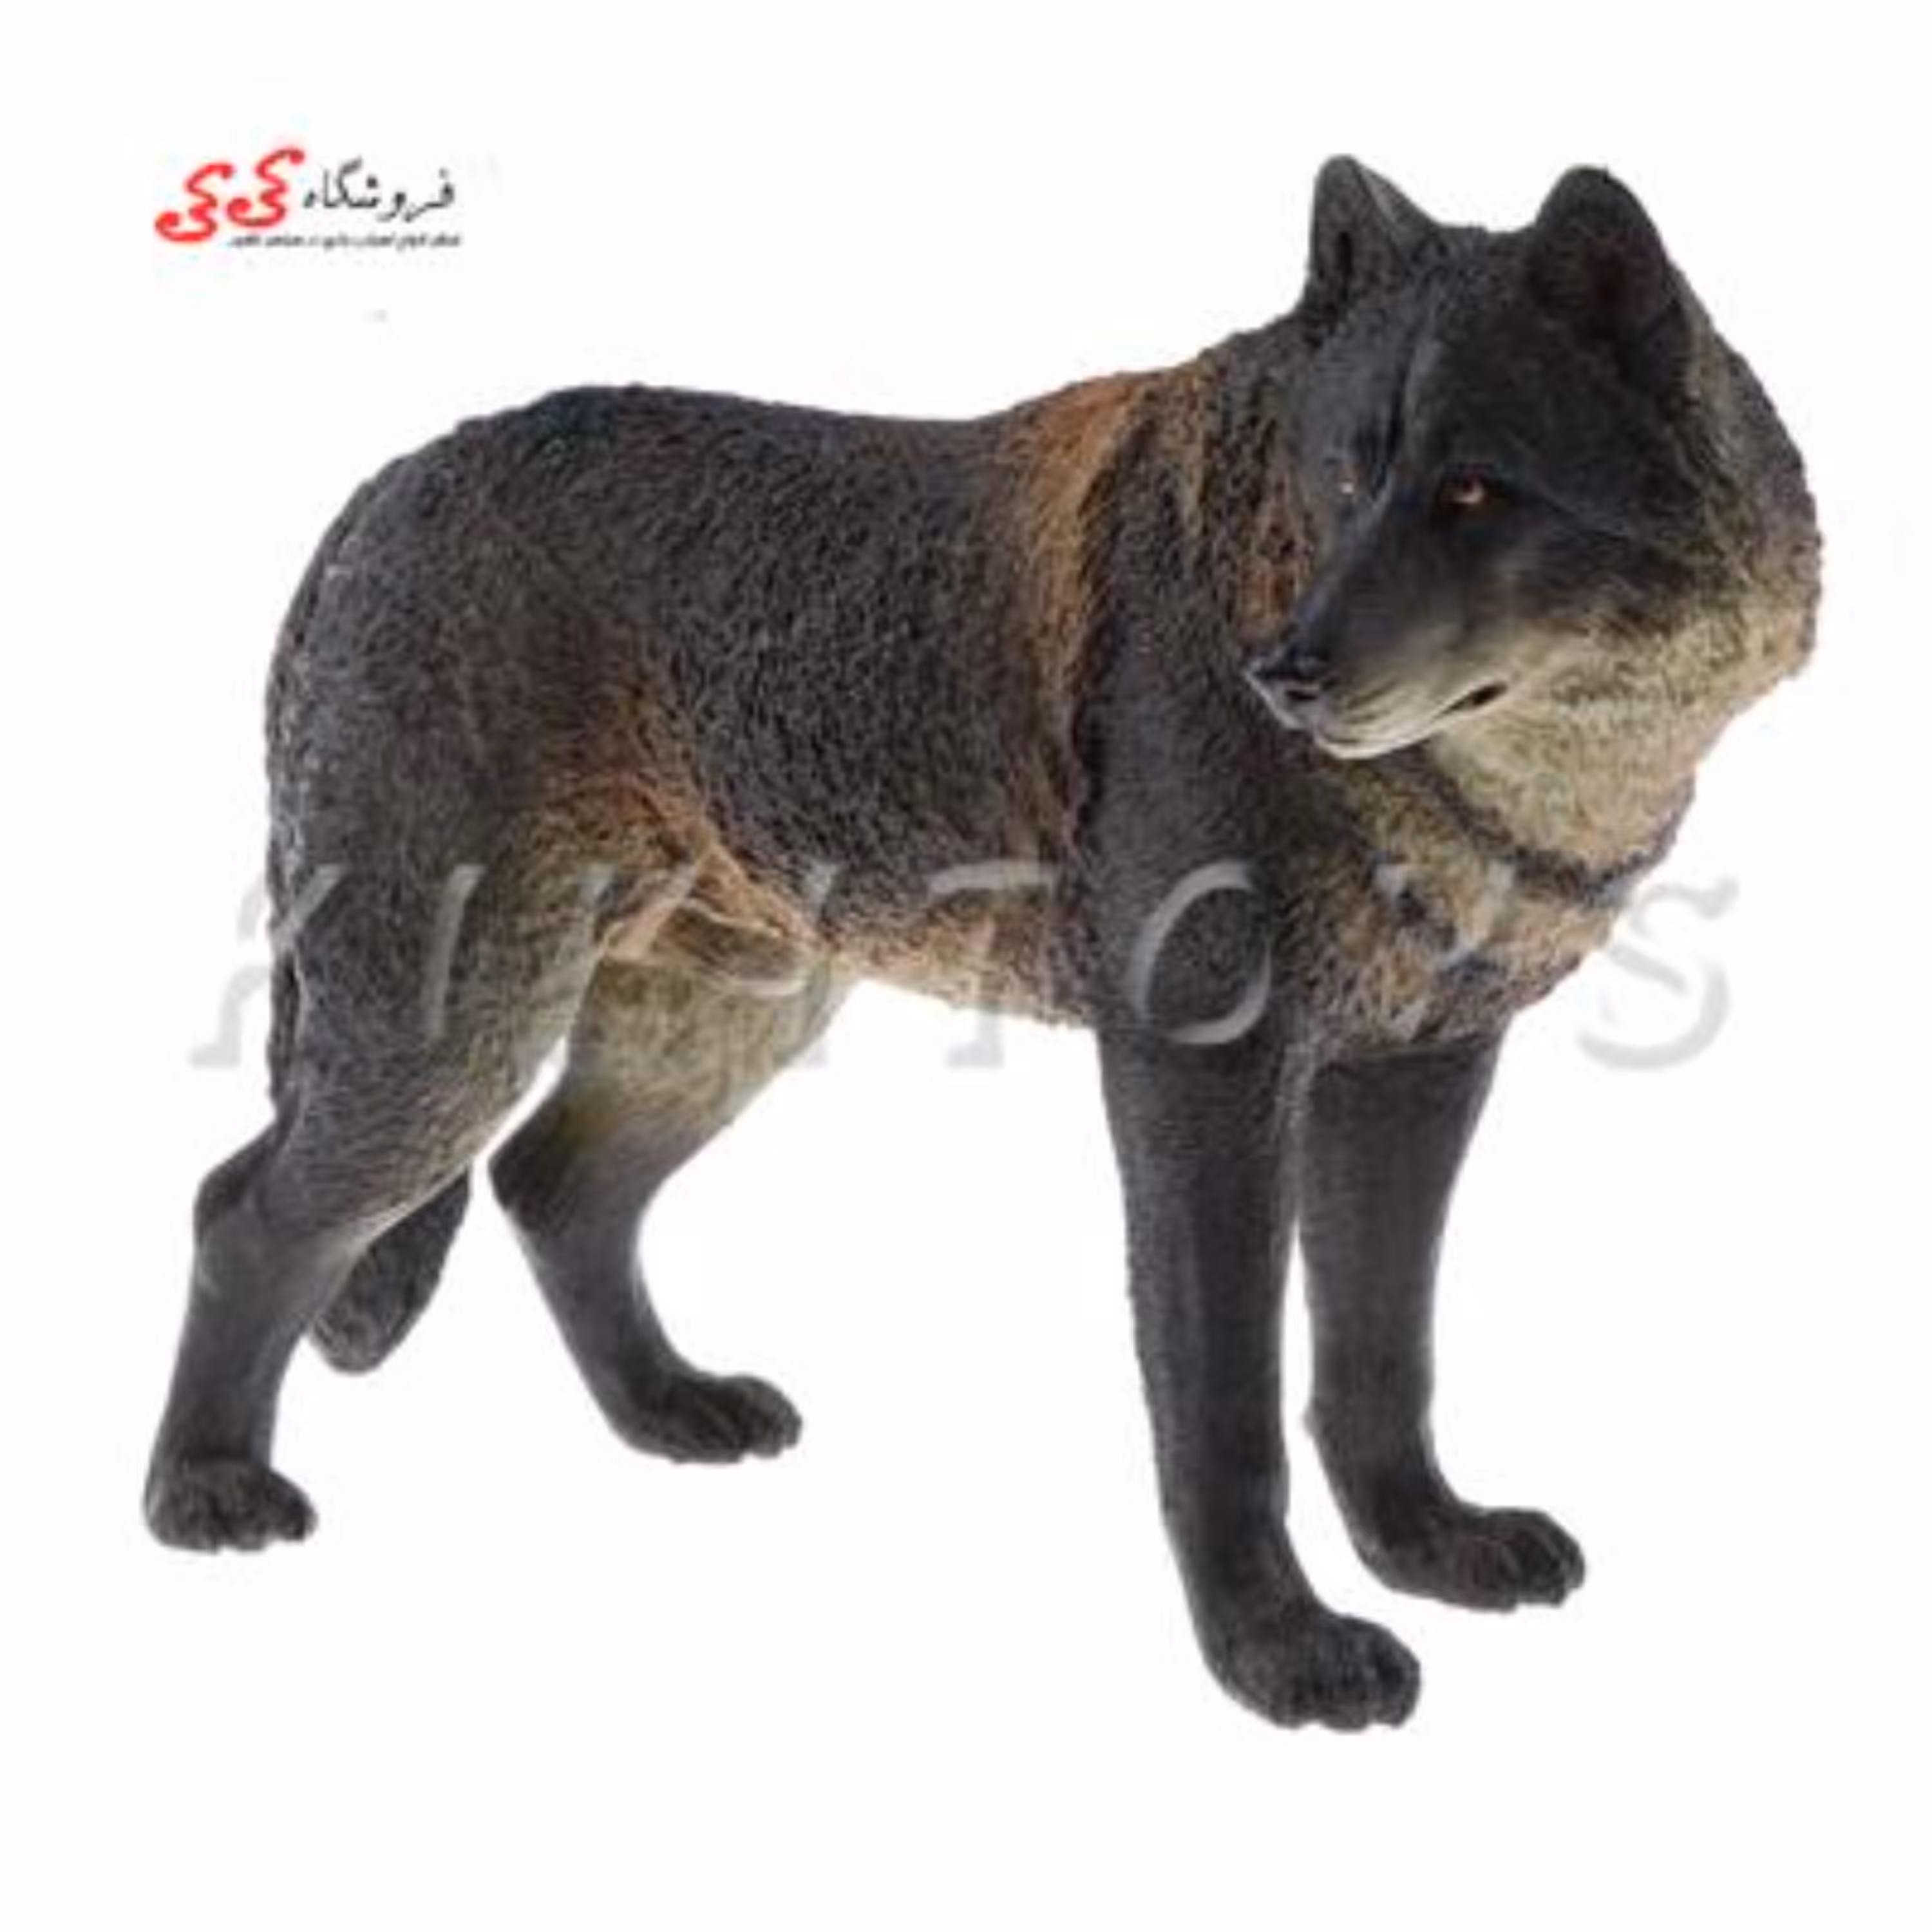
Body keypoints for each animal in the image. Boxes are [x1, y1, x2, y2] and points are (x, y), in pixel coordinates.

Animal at [146, 159, 1819, 1730]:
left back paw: (669, 1410)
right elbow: (1227, 1405)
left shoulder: (1418, 1070)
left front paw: (1422, 1548)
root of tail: (383, 486)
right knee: (248, 1210)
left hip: (723, 1018)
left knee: (551, 1185)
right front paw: (1276, 1652)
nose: (1280, 674)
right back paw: (205, 1491)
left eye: (1473, 493)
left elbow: (1377, 1359)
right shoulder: (1203, 1076)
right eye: (1353, 479)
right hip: (457, 1029)